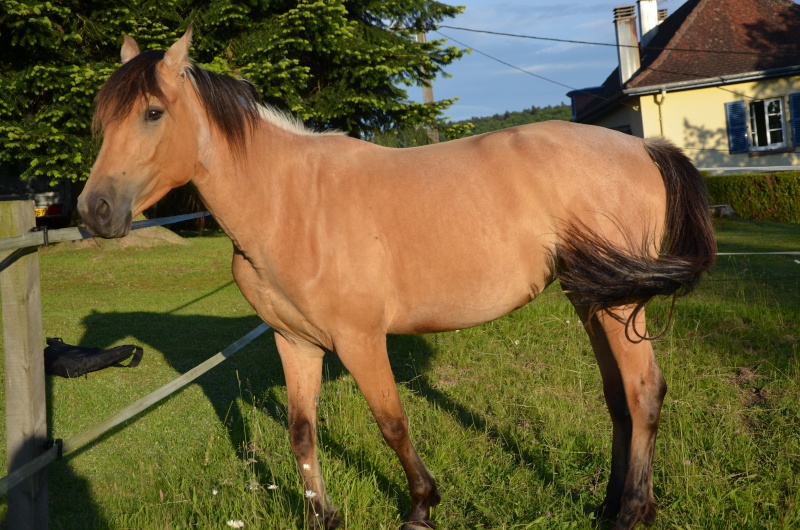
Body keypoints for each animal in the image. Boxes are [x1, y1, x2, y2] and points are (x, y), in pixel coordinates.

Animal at [79, 28, 720, 528]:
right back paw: (611, 505)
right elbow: (301, 433)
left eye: (153, 113)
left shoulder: (359, 341)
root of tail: (646, 148)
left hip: (620, 305)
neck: (290, 202)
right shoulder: (295, 343)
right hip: (591, 297)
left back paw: (633, 512)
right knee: (618, 398)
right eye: (102, 120)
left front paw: (421, 507)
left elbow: (392, 424)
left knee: (643, 392)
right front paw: (322, 516)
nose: (94, 211)